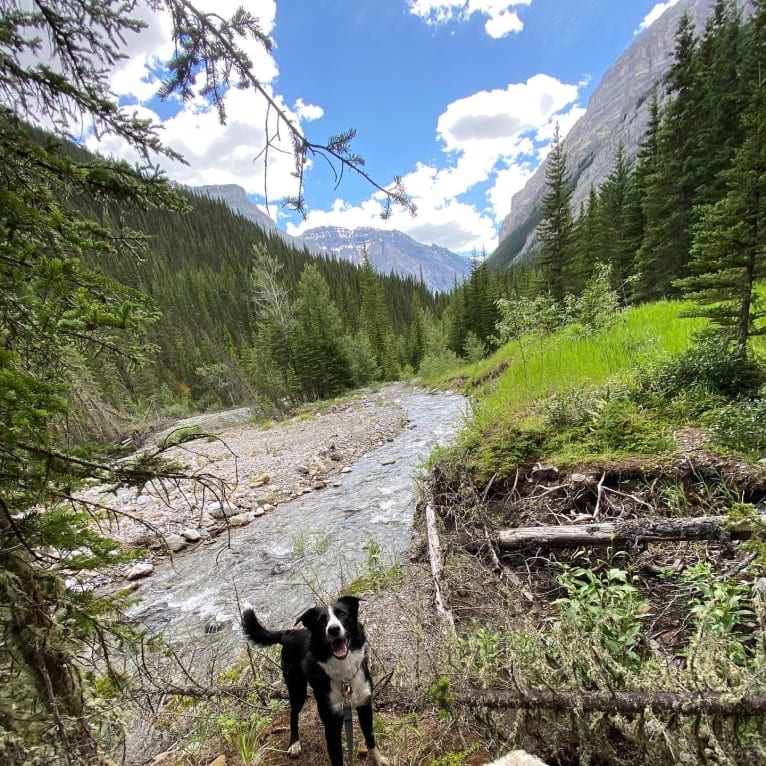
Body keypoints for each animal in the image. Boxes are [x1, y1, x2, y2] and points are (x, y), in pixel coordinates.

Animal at [243, 596, 390, 766]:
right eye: (321, 620)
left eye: (342, 614)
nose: (333, 629)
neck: (344, 675)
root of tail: (288, 634)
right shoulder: (332, 722)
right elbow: (337, 757)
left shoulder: (365, 706)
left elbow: (370, 737)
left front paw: (378, 760)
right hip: (297, 689)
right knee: (293, 714)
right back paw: (294, 744)